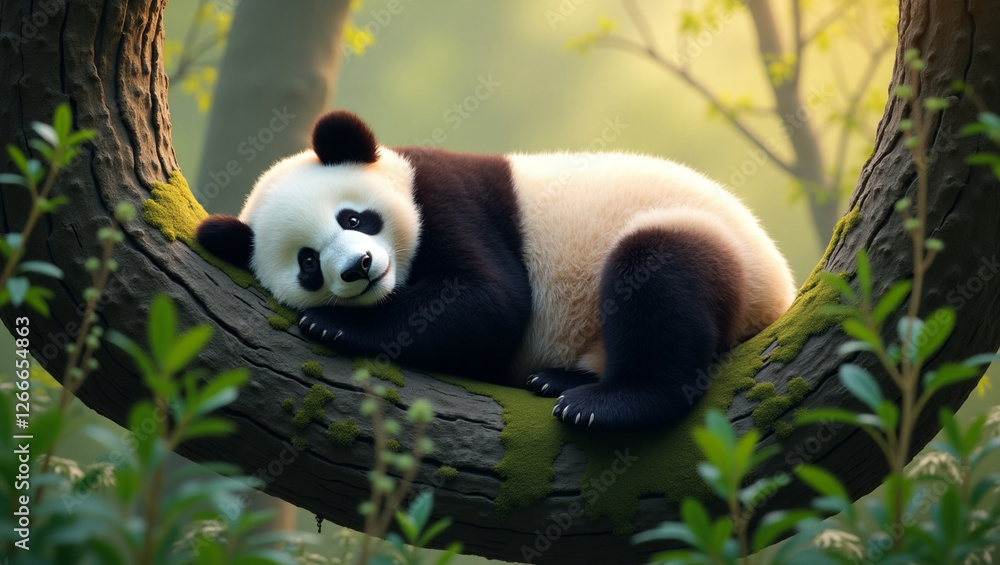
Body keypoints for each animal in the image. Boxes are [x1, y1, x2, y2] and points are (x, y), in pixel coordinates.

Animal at [197, 111, 796, 431]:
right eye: (307, 263)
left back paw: (604, 404)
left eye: (354, 217)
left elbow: (491, 302)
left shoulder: (446, 197)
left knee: (658, 282)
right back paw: (559, 379)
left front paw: (336, 326)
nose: (360, 267)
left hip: (703, 238)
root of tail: (779, 295)